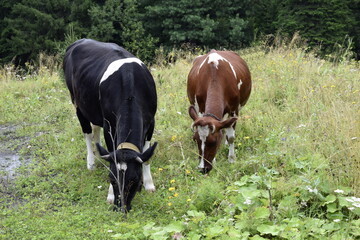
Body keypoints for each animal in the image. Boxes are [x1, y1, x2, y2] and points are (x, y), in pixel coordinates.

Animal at [63, 38, 158, 211]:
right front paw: (110, 195)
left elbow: (146, 155)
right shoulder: (109, 126)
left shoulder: (151, 121)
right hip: (77, 103)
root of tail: (80, 41)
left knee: (95, 128)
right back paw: (91, 162)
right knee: (87, 132)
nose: (121, 207)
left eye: (134, 180)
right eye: (112, 180)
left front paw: (148, 185)